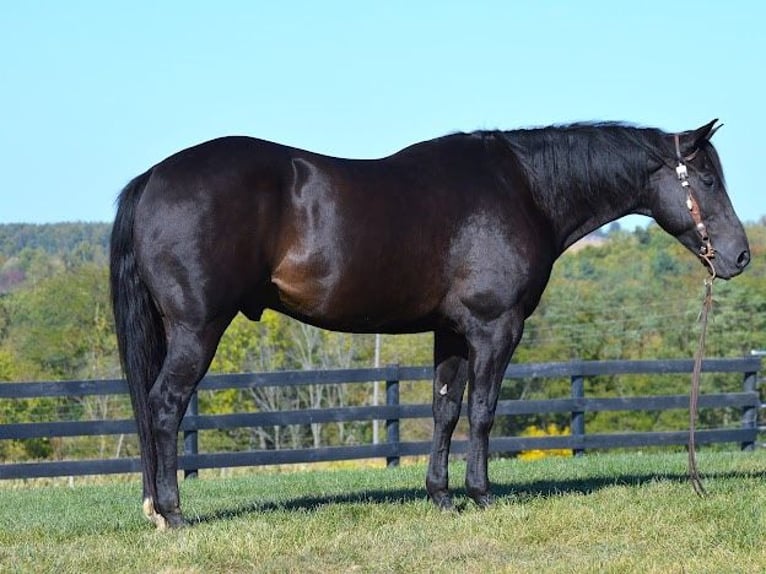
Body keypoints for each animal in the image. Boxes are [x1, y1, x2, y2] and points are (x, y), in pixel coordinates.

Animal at [111, 121, 752, 532]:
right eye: (708, 180)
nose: (741, 256)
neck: (523, 188)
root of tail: (152, 178)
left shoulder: (452, 332)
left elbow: (444, 408)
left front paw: (441, 496)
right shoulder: (496, 328)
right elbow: (483, 411)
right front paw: (481, 494)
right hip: (197, 329)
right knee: (164, 407)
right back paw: (171, 513)